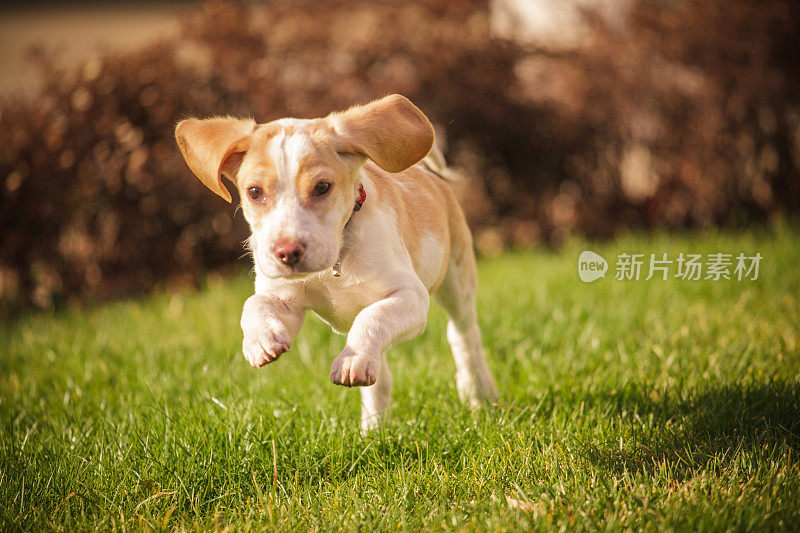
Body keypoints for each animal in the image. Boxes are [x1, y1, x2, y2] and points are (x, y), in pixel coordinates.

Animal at [177, 93, 494, 430]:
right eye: (254, 192)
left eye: (321, 188)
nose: (287, 253)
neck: (335, 262)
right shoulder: (285, 301)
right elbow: (254, 304)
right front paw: (261, 340)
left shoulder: (411, 296)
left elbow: (372, 318)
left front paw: (350, 360)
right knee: (381, 377)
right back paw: (373, 429)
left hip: (457, 281)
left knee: (464, 338)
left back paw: (478, 396)